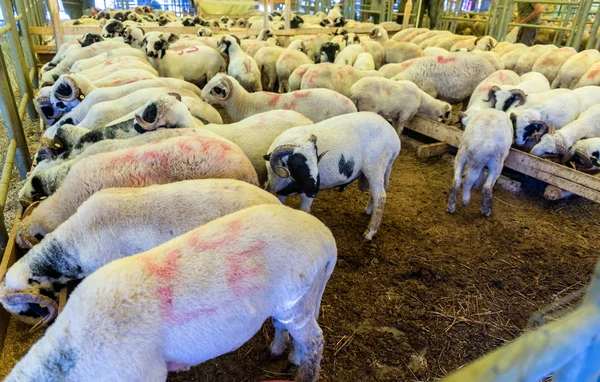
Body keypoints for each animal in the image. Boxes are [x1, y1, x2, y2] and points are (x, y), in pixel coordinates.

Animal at [4, 204, 336, 382]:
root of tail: (325, 236)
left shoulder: (147, 375)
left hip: (297, 302)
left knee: (316, 342)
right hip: (293, 303)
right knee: (286, 330)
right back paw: (281, 352)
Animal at [266, 112, 398, 240]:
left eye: (317, 160)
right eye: (296, 165)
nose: (315, 191)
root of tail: (395, 138)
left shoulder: (305, 194)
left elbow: (304, 210)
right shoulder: (281, 192)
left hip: (375, 167)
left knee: (380, 197)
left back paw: (370, 232)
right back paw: (368, 211)